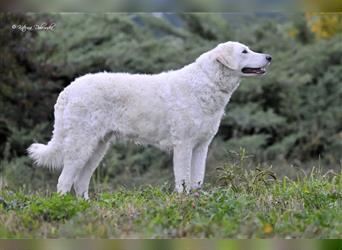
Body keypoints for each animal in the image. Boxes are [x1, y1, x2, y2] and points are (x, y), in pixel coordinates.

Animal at [28, 41, 272, 199]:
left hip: (97, 148)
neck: (206, 83)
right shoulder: (183, 145)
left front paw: (196, 199)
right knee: (64, 181)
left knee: (80, 182)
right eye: (244, 51)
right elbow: (183, 179)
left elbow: (197, 179)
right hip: (81, 145)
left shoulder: (202, 146)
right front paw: (182, 202)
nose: (269, 57)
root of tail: (68, 89)